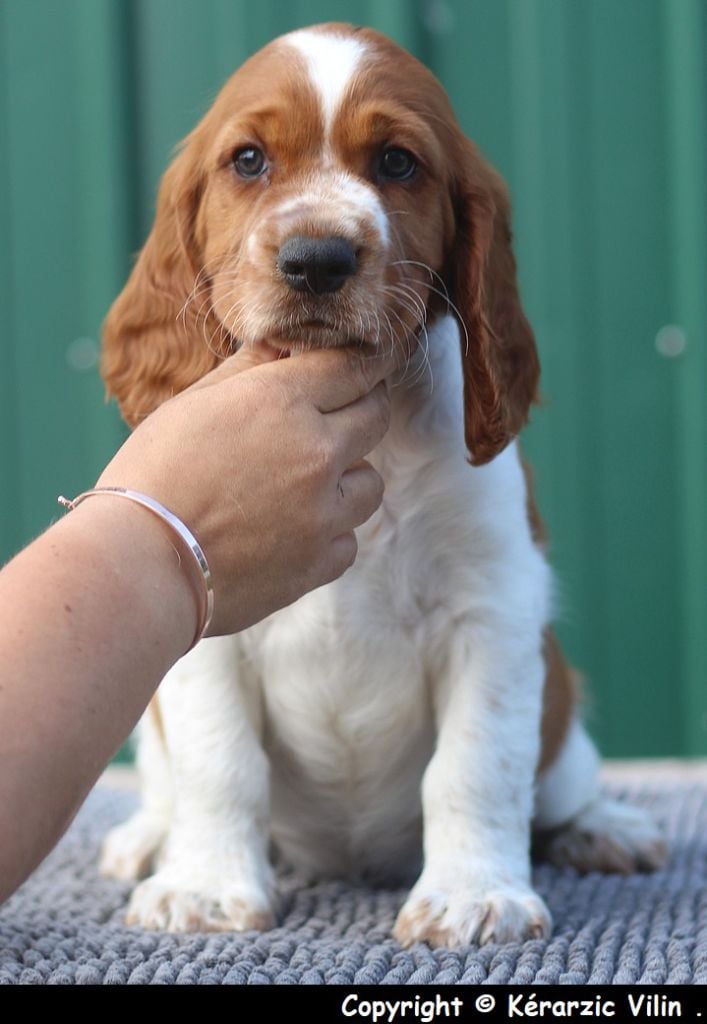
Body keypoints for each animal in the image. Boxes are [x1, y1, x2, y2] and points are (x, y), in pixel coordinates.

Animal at [97, 24, 659, 946]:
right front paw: (204, 887)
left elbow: (474, 764)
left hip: (562, 711)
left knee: (559, 783)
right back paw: (145, 838)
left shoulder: (491, 608)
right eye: (248, 160)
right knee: (165, 780)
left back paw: (604, 828)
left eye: (397, 163)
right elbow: (220, 763)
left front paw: (474, 896)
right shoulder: (207, 625)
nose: (316, 259)